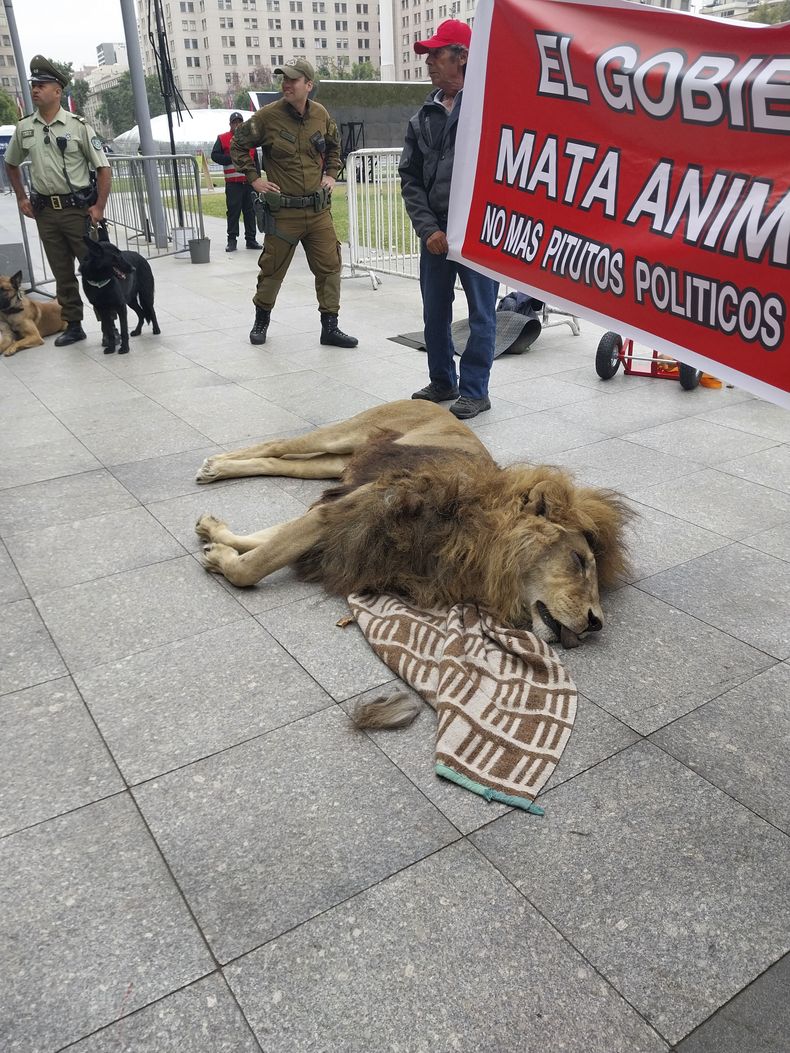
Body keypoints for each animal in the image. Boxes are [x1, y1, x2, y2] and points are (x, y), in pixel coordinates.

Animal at [195, 400, 631, 648]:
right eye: (579, 561)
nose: (596, 623)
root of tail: (437, 404)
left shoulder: (344, 508)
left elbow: (267, 539)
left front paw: (216, 537)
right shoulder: (358, 505)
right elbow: (255, 565)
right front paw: (221, 558)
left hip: (336, 463)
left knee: (280, 461)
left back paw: (217, 474)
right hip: (342, 436)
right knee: (278, 445)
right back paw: (214, 464)